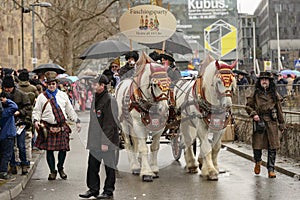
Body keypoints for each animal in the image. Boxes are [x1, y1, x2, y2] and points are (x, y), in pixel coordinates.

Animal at [115, 52, 171, 182]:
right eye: (155, 84)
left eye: (169, 83)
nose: (164, 109)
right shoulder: (138, 125)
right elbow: (143, 148)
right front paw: (146, 172)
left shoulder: (160, 125)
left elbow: (154, 146)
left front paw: (154, 169)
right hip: (125, 124)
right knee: (129, 143)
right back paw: (135, 166)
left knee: (136, 143)